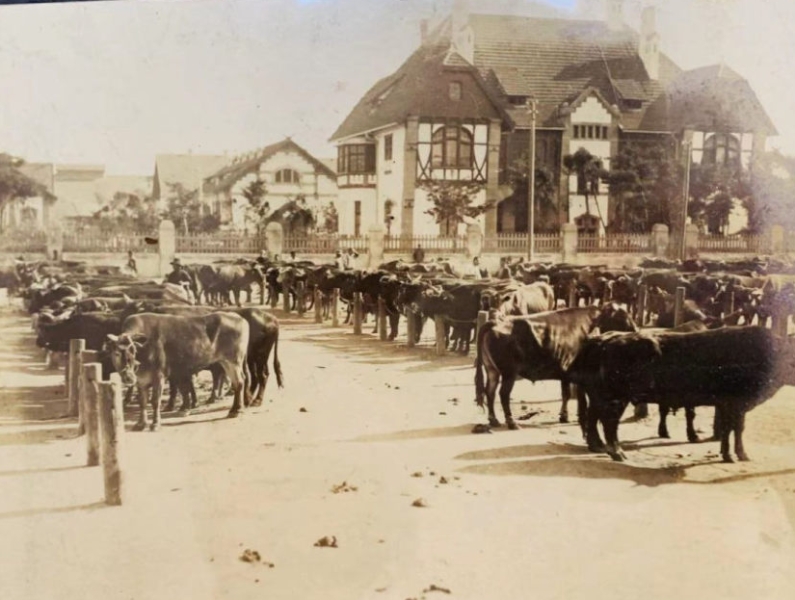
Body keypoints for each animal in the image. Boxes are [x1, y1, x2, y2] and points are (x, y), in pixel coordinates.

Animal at [104, 312, 251, 430]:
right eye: (116, 353)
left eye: (133, 350)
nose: (129, 377)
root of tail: (239, 318)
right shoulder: (141, 380)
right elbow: (143, 402)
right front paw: (141, 424)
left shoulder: (159, 376)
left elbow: (155, 401)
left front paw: (155, 424)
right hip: (226, 362)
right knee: (237, 381)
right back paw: (237, 408)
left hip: (234, 361)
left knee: (239, 382)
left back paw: (236, 410)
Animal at [474, 304, 638, 431]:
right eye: (623, 316)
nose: (635, 330)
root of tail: (495, 322)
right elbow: (577, 395)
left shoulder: (565, 371)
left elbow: (565, 394)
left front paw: (564, 416)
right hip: (509, 373)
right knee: (503, 394)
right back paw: (511, 422)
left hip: (492, 370)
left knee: (490, 392)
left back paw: (494, 420)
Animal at [570, 326, 795, 463]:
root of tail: (603, 339)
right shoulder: (735, 403)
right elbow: (733, 428)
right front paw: (735, 455)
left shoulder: (732, 405)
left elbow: (733, 428)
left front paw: (734, 454)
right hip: (615, 397)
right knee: (609, 423)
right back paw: (617, 452)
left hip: (600, 396)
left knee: (593, 418)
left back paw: (597, 446)